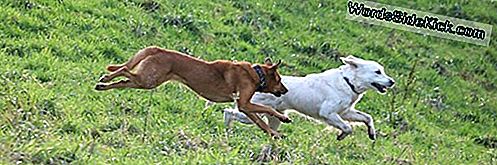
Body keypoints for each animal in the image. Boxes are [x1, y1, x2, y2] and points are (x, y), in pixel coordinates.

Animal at [96, 45, 290, 137]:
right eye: (280, 80)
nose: (286, 90)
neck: (257, 74)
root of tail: (157, 49)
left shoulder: (245, 107)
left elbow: (261, 123)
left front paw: (274, 134)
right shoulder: (244, 103)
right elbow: (267, 109)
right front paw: (283, 118)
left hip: (145, 81)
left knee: (123, 80)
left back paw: (103, 84)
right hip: (148, 80)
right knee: (125, 70)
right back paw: (105, 79)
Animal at [223, 55, 394, 141]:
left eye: (382, 71)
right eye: (377, 72)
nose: (392, 81)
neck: (348, 82)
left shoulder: (345, 112)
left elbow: (367, 117)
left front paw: (371, 133)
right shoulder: (328, 113)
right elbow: (347, 127)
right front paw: (341, 135)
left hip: (274, 117)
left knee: (269, 129)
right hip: (251, 112)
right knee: (228, 112)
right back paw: (227, 131)